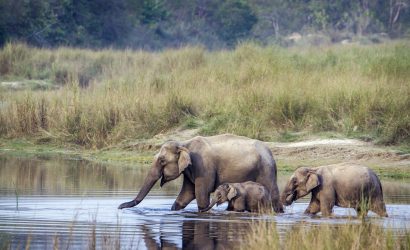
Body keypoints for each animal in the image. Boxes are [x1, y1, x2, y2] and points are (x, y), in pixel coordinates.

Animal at [118, 134, 284, 212]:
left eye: (162, 161)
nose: (119, 207)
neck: (184, 144)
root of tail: (270, 152)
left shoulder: (203, 167)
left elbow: (201, 193)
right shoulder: (190, 169)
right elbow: (186, 195)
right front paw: (173, 210)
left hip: (266, 169)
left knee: (274, 195)